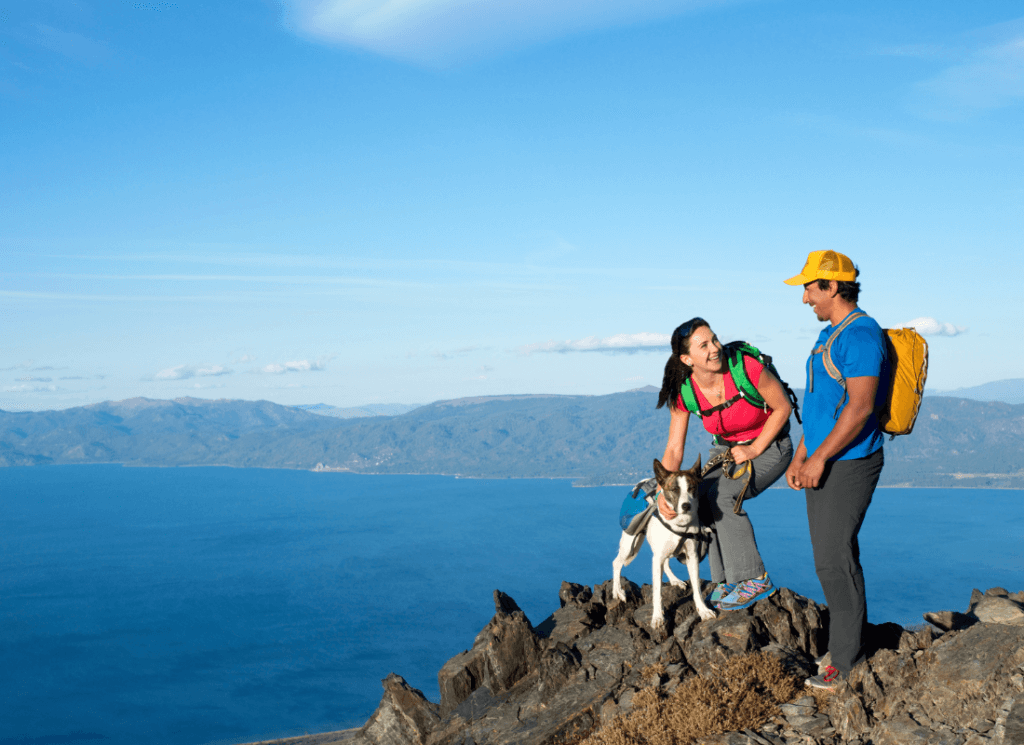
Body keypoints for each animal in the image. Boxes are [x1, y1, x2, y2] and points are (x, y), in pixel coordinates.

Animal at [610, 454, 716, 630]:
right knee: (616, 562)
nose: (686, 506)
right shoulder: (656, 559)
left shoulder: (692, 557)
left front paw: (703, 610)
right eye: (675, 490)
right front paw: (657, 617)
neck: (679, 523)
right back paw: (617, 591)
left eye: (691, 488)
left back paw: (675, 580)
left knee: (666, 562)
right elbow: (657, 592)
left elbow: (697, 588)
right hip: (630, 542)